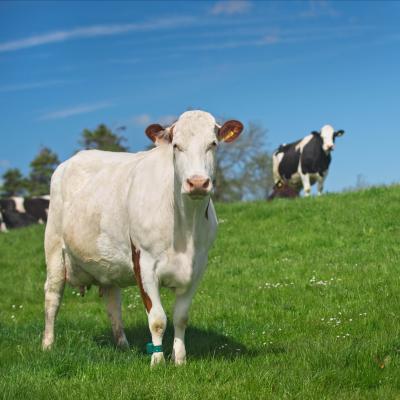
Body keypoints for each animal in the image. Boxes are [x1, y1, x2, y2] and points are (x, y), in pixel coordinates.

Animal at [43, 109, 244, 366]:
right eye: (176, 146)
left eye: (213, 144)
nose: (198, 182)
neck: (185, 229)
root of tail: (75, 158)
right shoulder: (145, 263)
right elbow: (158, 319)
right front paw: (157, 361)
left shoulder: (198, 266)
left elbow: (181, 317)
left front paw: (180, 359)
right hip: (54, 248)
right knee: (52, 297)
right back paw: (47, 345)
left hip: (107, 264)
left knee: (113, 303)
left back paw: (123, 346)